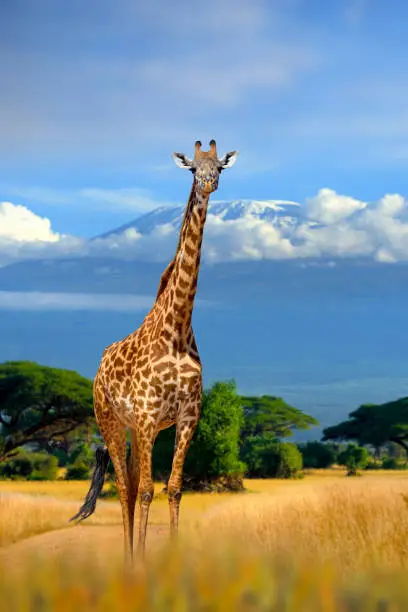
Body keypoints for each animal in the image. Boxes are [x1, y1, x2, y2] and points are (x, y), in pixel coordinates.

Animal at [71, 140, 239, 564]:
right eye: (193, 168)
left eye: (219, 167)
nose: (208, 183)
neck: (177, 329)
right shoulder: (148, 417)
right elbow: (147, 489)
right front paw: (143, 564)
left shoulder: (187, 417)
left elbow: (174, 487)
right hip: (111, 421)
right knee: (126, 486)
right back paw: (129, 560)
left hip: (133, 429)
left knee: (131, 482)